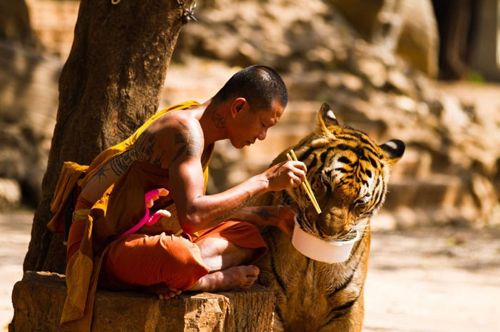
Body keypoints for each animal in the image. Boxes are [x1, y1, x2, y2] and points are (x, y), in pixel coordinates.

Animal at [256, 102, 404, 330]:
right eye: (325, 184)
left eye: (360, 202)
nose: (328, 233)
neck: (313, 261)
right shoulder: (272, 294)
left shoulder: (348, 304)